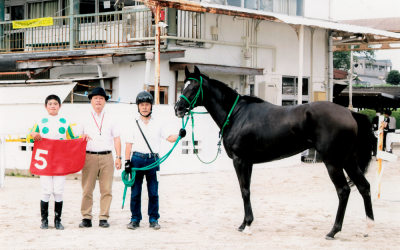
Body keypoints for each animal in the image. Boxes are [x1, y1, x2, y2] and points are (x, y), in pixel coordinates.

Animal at [175, 66, 376, 240]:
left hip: (333, 163)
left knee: (343, 191)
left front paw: (247, 226)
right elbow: (246, 190)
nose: (178, 108)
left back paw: (333, 231)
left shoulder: (240, 161)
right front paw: (244, 224)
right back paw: (368, 228)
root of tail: (351, 114)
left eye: (194, 87)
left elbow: (244, 191)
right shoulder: (248, 162)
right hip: (349, 162)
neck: (237, 114)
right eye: (183, 85)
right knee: (364, 187)